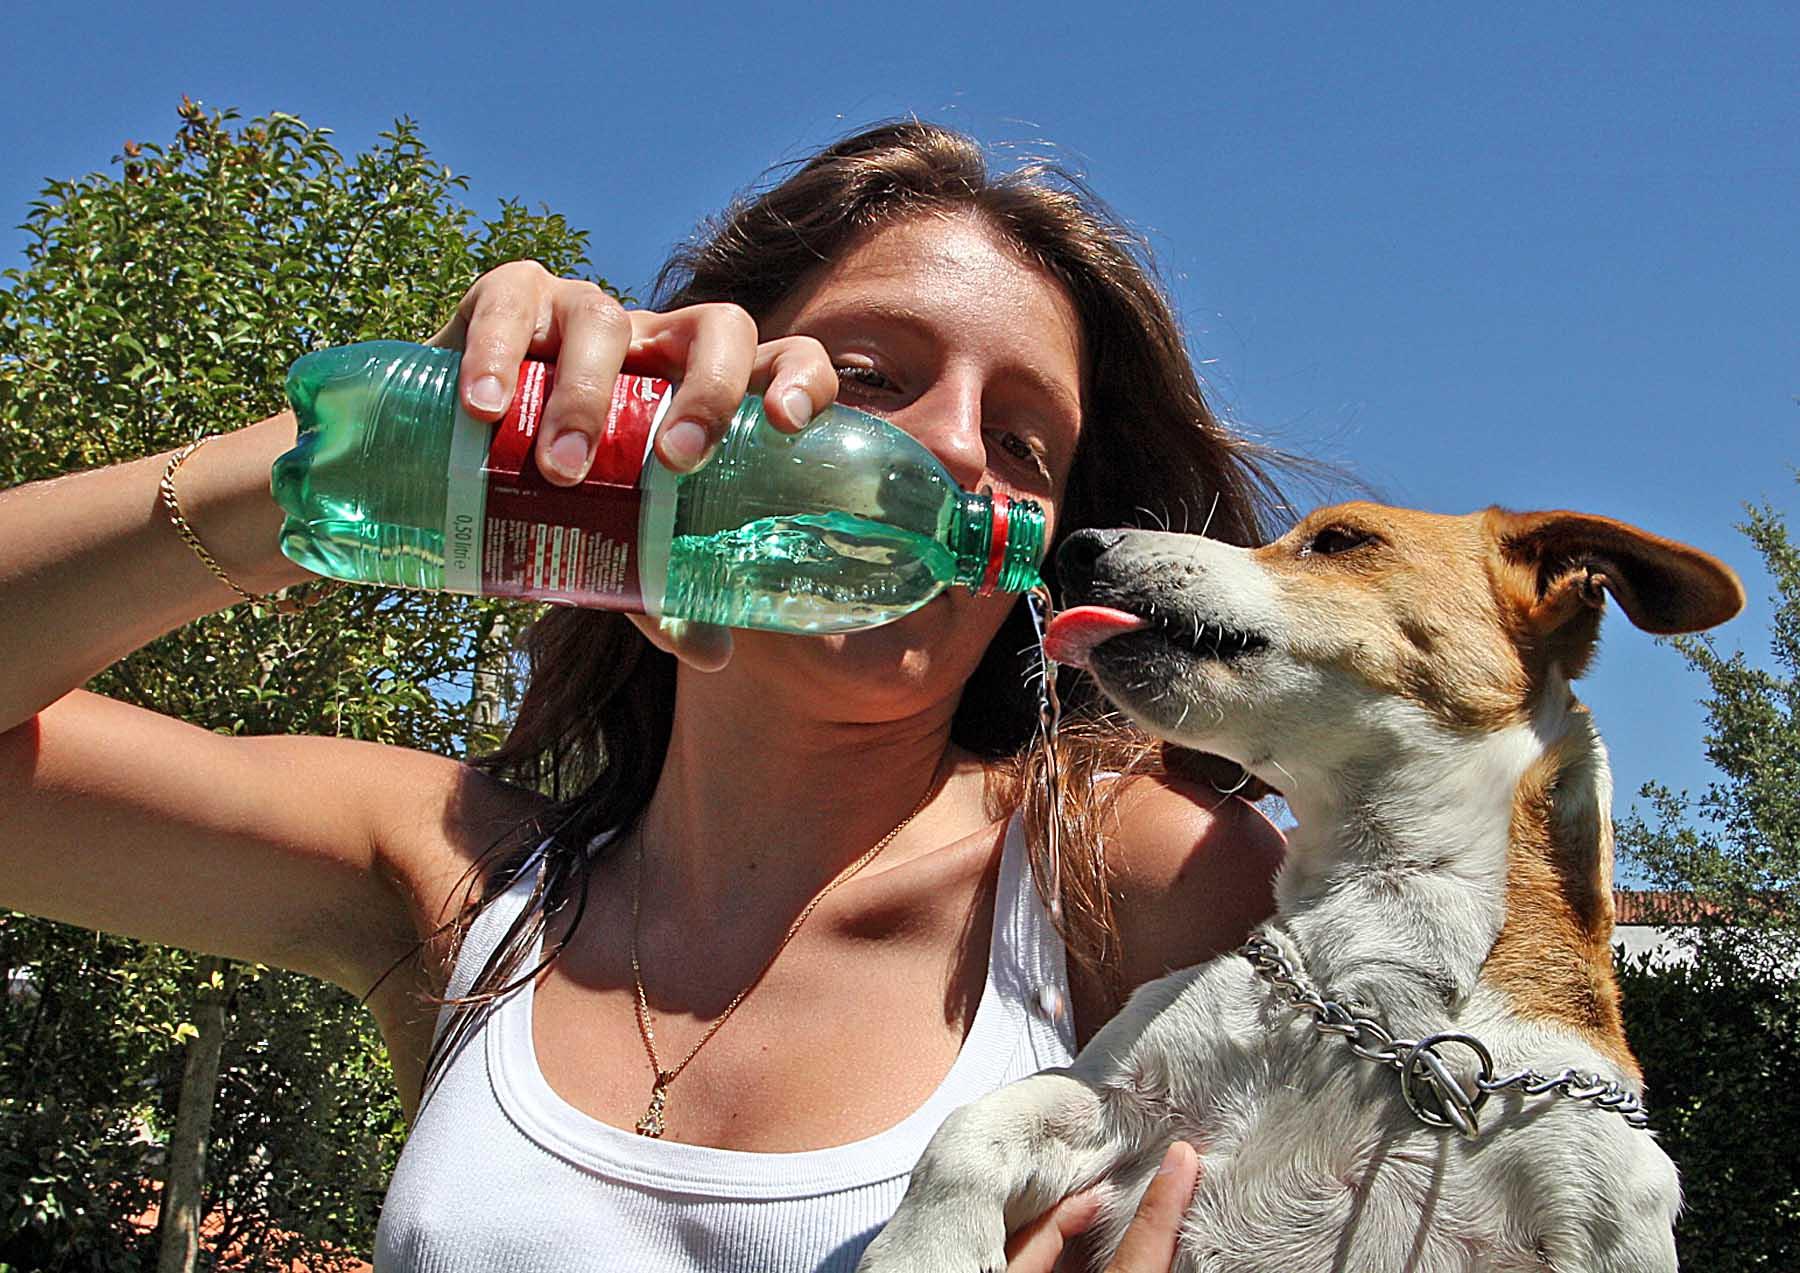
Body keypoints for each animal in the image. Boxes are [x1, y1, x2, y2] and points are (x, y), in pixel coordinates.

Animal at [856, 507, 1742, 1273]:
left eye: (1342, 539)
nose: (1076, 546)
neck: (1387, 1009)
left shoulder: (1601, 1213)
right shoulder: (1123, 1092)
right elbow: (967, 1131)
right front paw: (920, 1253)